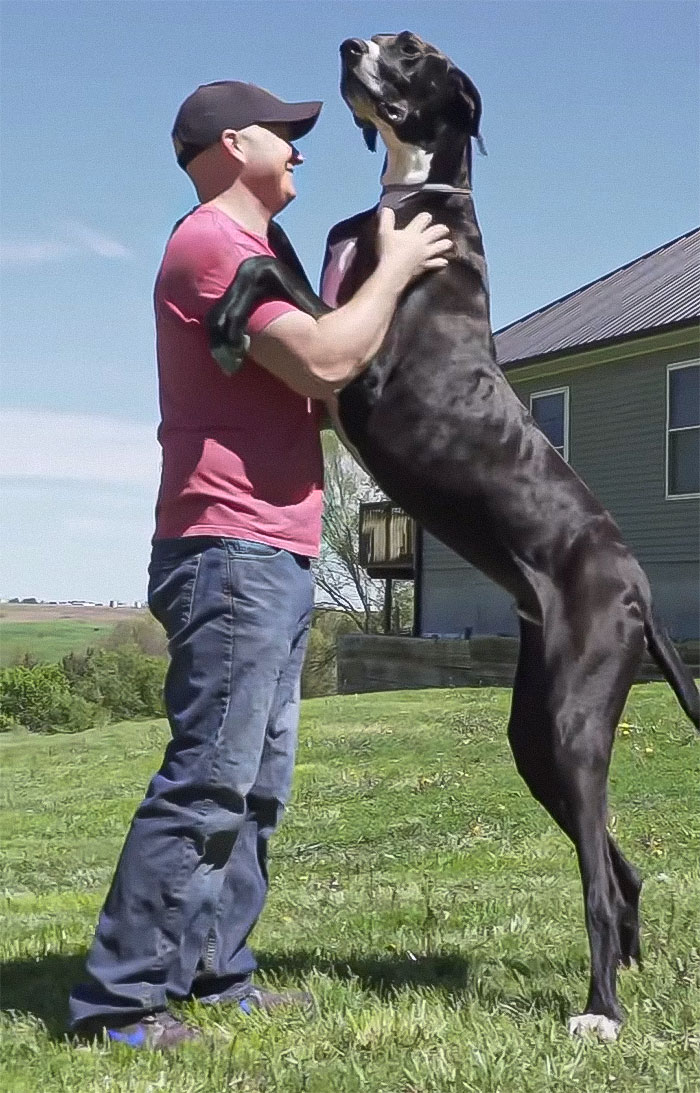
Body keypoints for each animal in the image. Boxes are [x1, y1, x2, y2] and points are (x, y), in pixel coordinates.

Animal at [205, 31, 695, 1040]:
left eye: (415, 52)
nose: (350, 43)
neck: (414, 192)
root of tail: (638, 586)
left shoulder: (357, 370)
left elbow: (269, 271)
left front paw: (231, 322)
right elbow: (275, 248)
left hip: (574, 720)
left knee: (597, 877)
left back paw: (601, 1010)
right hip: (534, 730)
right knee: (616, 864)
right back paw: (626, 977)